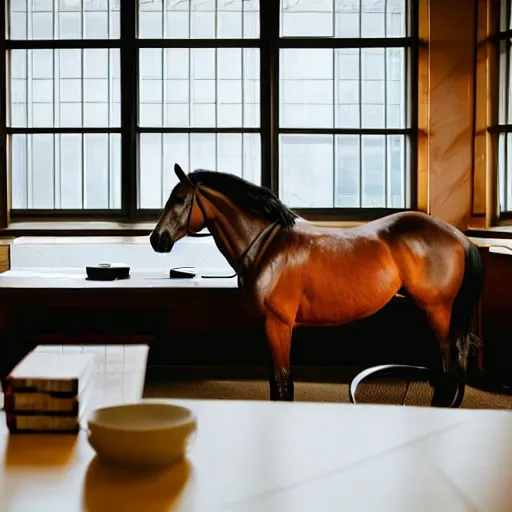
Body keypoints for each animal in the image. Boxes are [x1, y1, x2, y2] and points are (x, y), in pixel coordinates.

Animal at [151, 163, 484, 400]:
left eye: (178, 199)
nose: (157, 239)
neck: (268, 246)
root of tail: (457, 236)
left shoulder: (278, 325)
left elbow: (283, 384)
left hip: (438, 310)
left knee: (451, 366)